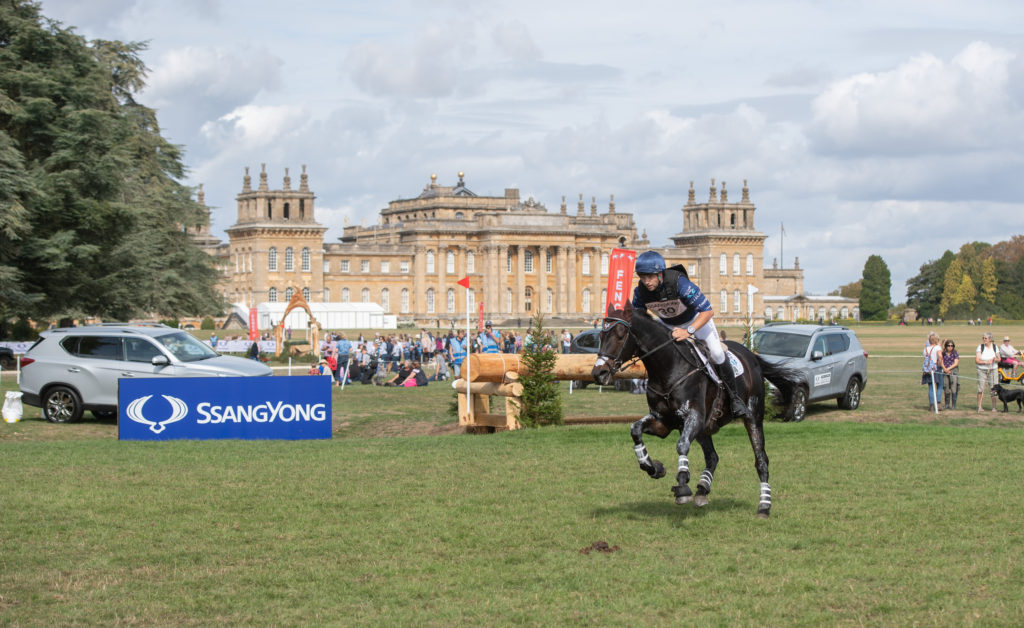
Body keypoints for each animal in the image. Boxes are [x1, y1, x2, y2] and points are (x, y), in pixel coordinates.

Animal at [593, 301, 798, 516]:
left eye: (620, 334)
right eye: (601, 336)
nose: (599, 373)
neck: (668, 369)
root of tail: (753, 357)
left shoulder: (695, 417)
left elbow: (682, 445)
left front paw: (682, 485)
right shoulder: (663, 422)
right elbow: (635, 430)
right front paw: (654, 468)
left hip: (752, 417)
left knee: (761, 460)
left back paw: (764, 505)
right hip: (705, 428)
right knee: (713, 457)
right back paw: (702, 489)